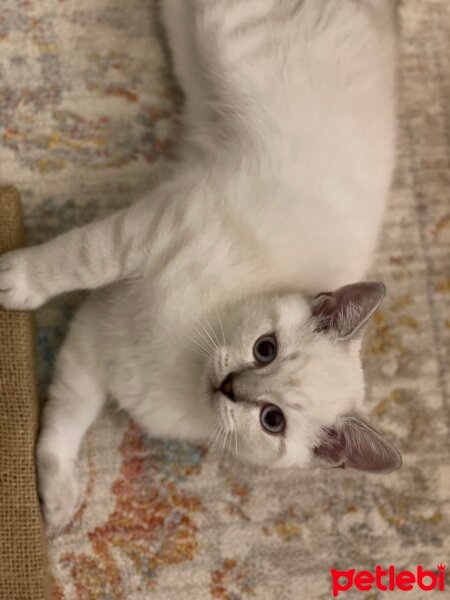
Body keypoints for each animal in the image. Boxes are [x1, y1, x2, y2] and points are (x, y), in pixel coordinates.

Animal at [0, 0, 400, 528]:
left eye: (272, 420)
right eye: (265, 349)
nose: (231, 386)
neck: (187, 361)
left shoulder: (91, 345)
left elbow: (64, 423)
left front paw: (59, 502)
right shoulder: (145, 233)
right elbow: (70, 260)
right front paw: (12, 281)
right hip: (221, 23)